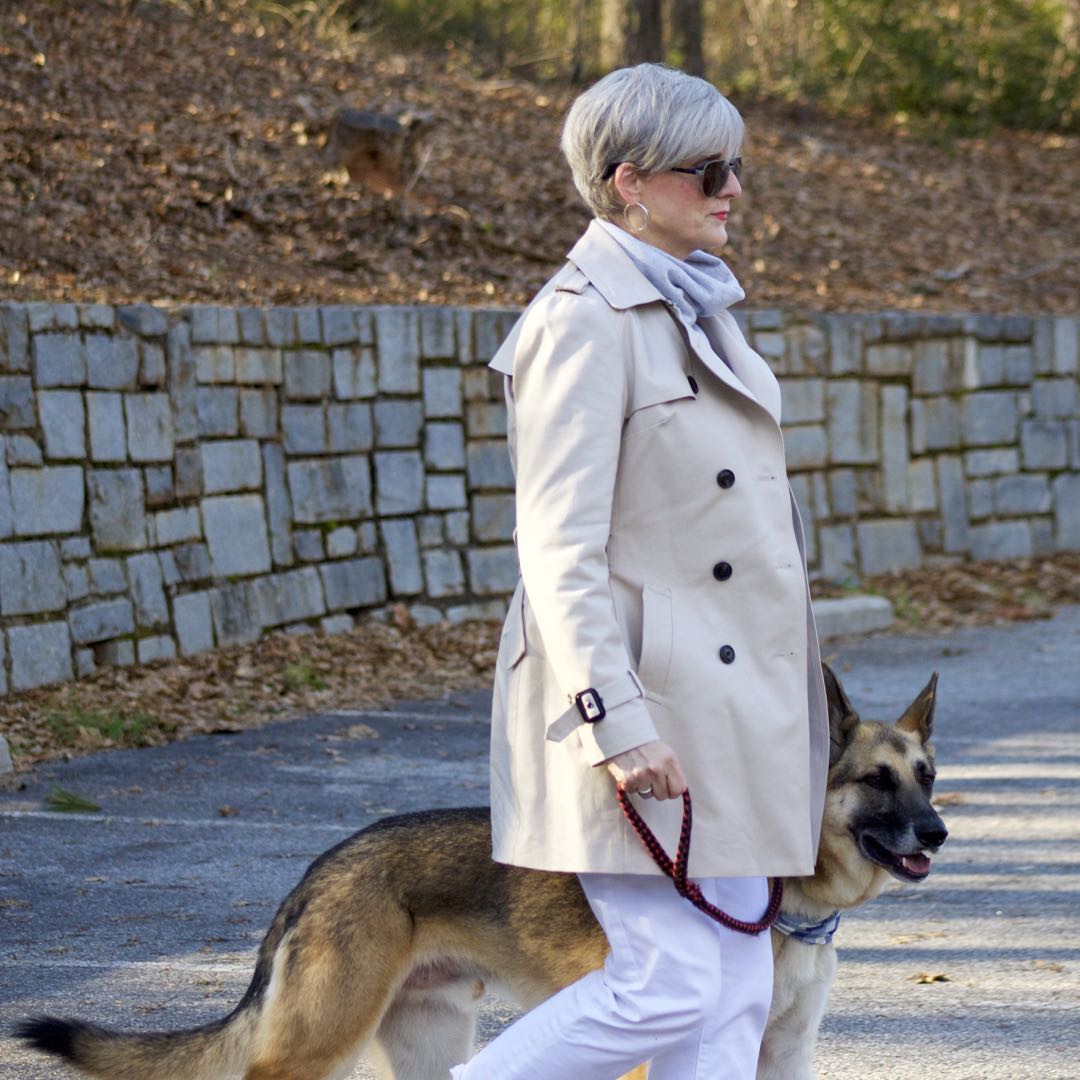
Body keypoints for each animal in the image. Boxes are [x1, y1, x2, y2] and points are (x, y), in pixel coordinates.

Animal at [16, 660, 946, 1075]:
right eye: (876, 781)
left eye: (928, 775)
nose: (937, 833)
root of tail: (321, 868)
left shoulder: (781, 1056)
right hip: (319, 1044)